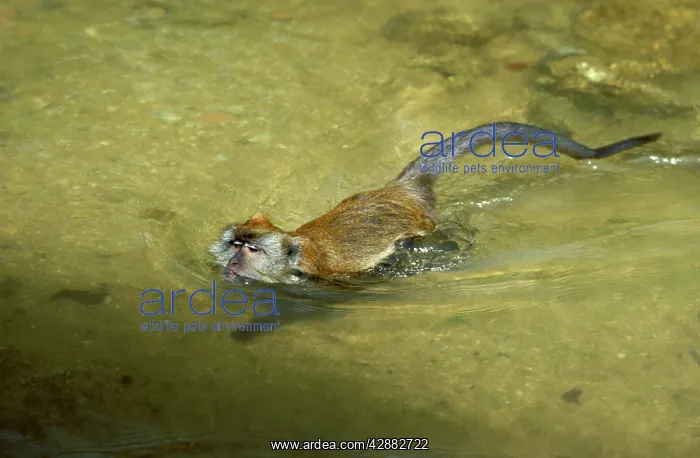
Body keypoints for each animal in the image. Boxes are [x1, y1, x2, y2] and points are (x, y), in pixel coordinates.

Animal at [210, 122, 662, 285]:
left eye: (252, 250)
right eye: (236, 244)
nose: (232, 261)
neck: (297, 252)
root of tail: (401, 189)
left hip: (423, 225)